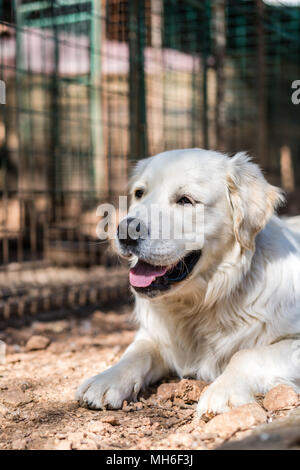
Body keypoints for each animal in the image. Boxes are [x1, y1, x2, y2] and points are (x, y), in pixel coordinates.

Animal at [77, 150, 300, 414]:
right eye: (140, 193)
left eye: (186, 200)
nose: (126, 231)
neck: (201, 304)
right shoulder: (153, 334)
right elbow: (136, 352)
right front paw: (107, 379)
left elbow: (246, 354)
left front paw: (223, 392)